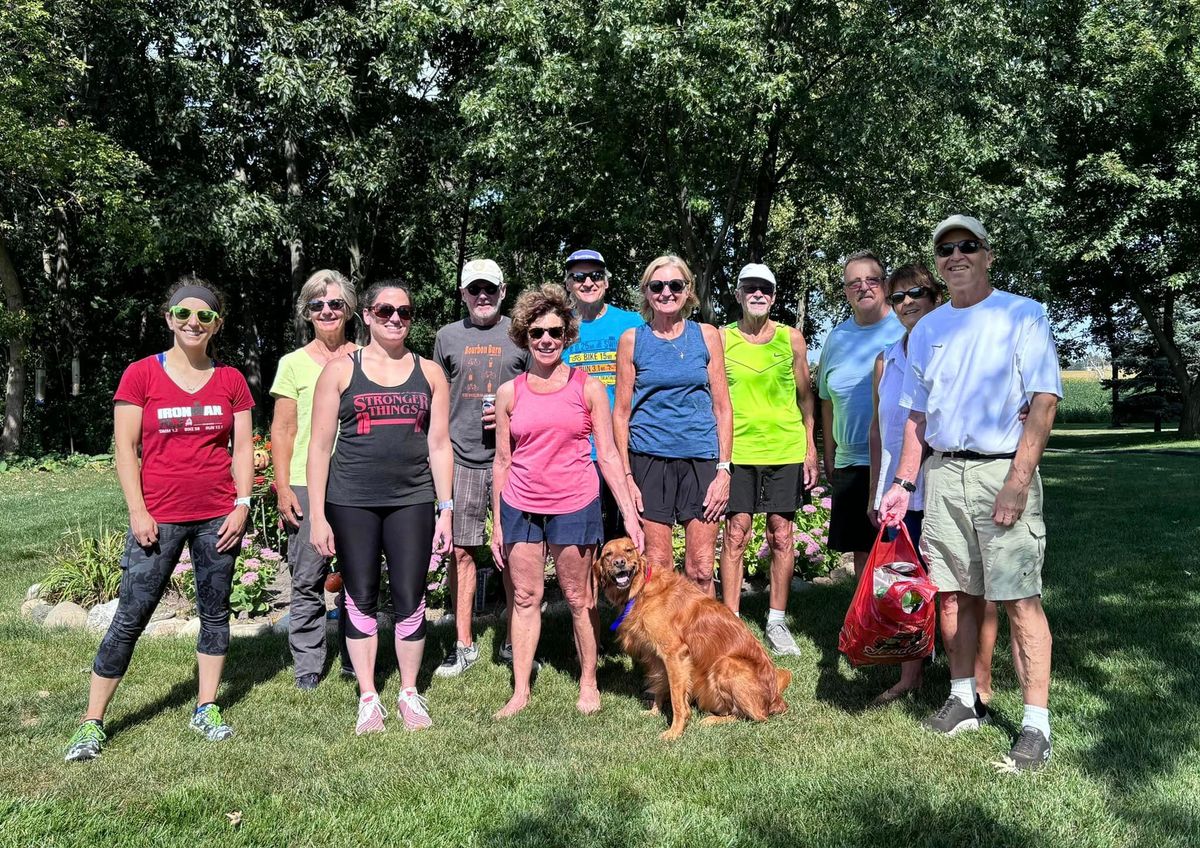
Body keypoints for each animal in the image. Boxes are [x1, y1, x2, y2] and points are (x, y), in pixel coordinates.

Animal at [595, 539, 792, 738]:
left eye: (628, 550)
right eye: (608, 554)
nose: (619, 563)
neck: (640, 589)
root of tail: (775, 698)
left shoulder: (675, 653)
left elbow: (676, 698)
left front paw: (675, 731)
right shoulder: (657, 656)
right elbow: (660, 686)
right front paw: (654, 711)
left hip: (726, 664)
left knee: (755, 716)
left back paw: (713, 719)